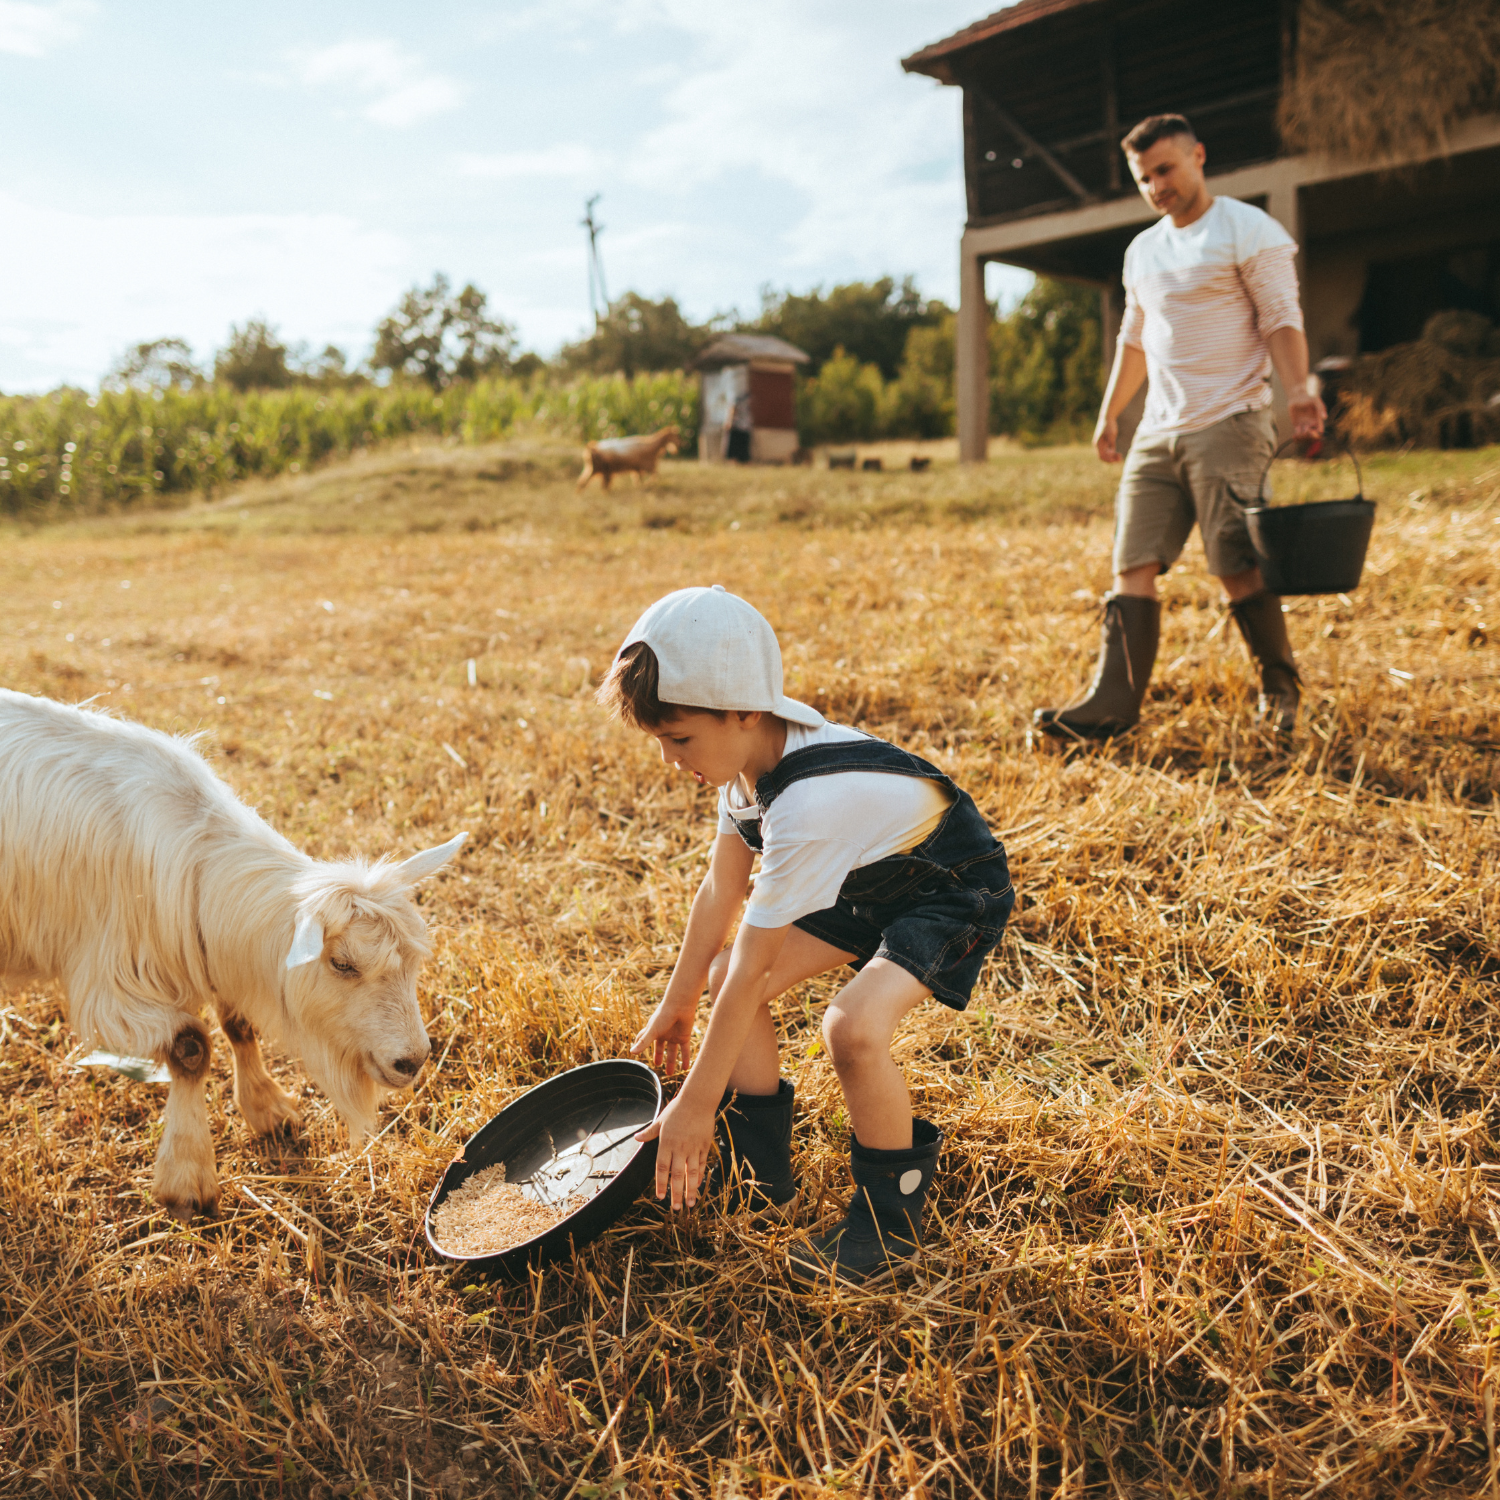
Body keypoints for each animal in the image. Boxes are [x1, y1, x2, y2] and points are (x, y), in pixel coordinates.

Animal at [0, 690, 465, 1218]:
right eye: (342, 964)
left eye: (414, 963)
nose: (413, 1061)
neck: (193, 863)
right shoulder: (113, 983)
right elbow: (191, 1048)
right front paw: (187, 1179)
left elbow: (239, 1024)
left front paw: (268, 1108)